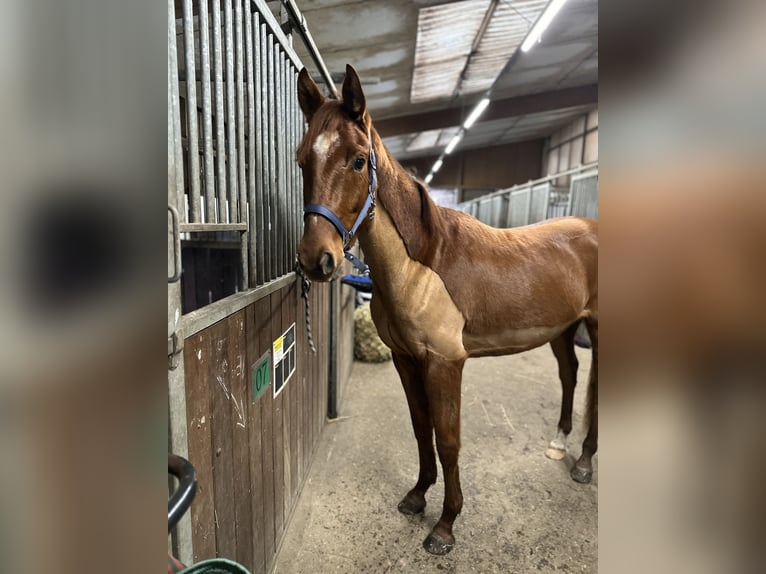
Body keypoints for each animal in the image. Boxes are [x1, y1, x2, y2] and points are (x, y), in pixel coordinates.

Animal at [295, 65, 598, 556]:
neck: (421, 265)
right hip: (563, 329)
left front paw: (445, 525)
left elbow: (449, 439)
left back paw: (585, 463)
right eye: (303, 160)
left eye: (358, 160)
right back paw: (559, 443)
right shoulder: (406, 359)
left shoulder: (445, 363)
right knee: (570, 375)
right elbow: (422, 430)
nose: (315, 260)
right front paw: (418, 496)